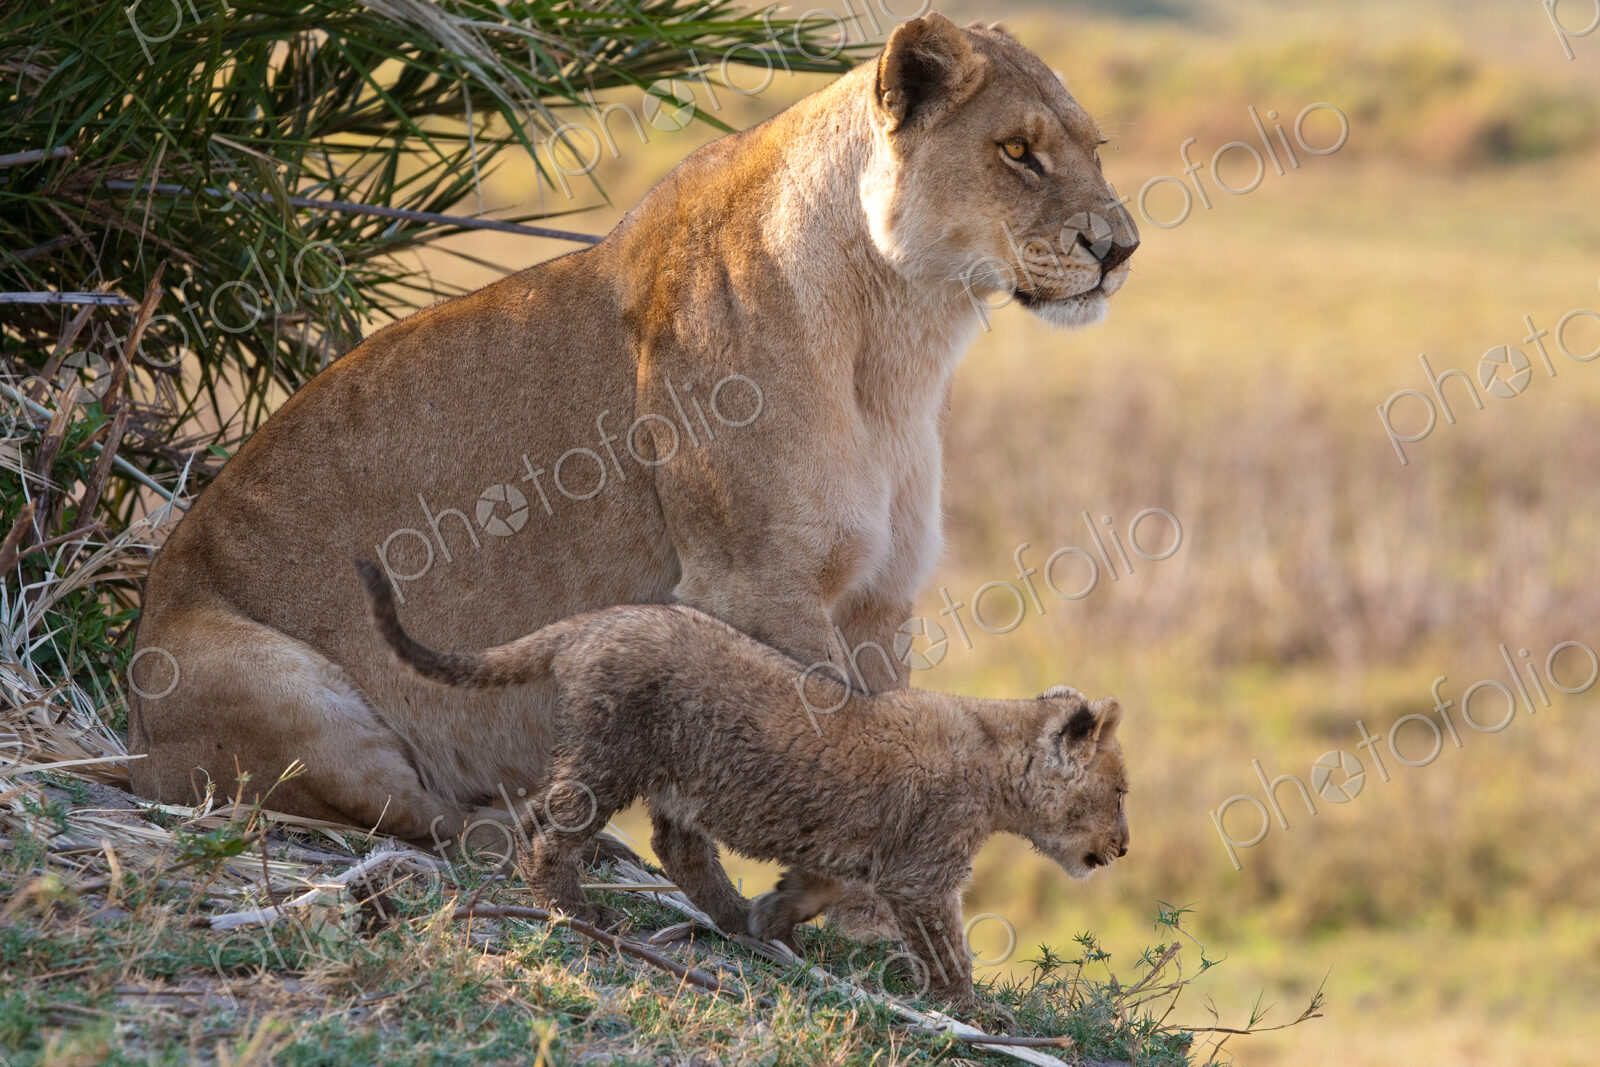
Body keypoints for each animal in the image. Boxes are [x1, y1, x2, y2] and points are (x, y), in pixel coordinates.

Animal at [128, 14, 1137, 866]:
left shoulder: (880, 599)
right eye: (1017, 152)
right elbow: (838, 741)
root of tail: (129, 742)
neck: (899, 340)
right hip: (267, 675)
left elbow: (897, 735)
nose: (1120, 248)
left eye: (1094, 148)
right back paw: (520, 829)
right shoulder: (752, 582)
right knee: (404, 815)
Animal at [358, 560, 1130, 1025]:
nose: (1123, 848)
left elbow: (817, 885)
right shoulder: (921, 873)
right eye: (1120, 790)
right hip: (611, 755)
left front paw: (772, 915)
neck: (996, 751)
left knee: (662, 842)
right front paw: (969, 1010)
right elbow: (945, 946)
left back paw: (730, 917)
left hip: (668, 773)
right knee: (557, 829)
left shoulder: (865, 856)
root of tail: (596, 621)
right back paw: (575, 909)